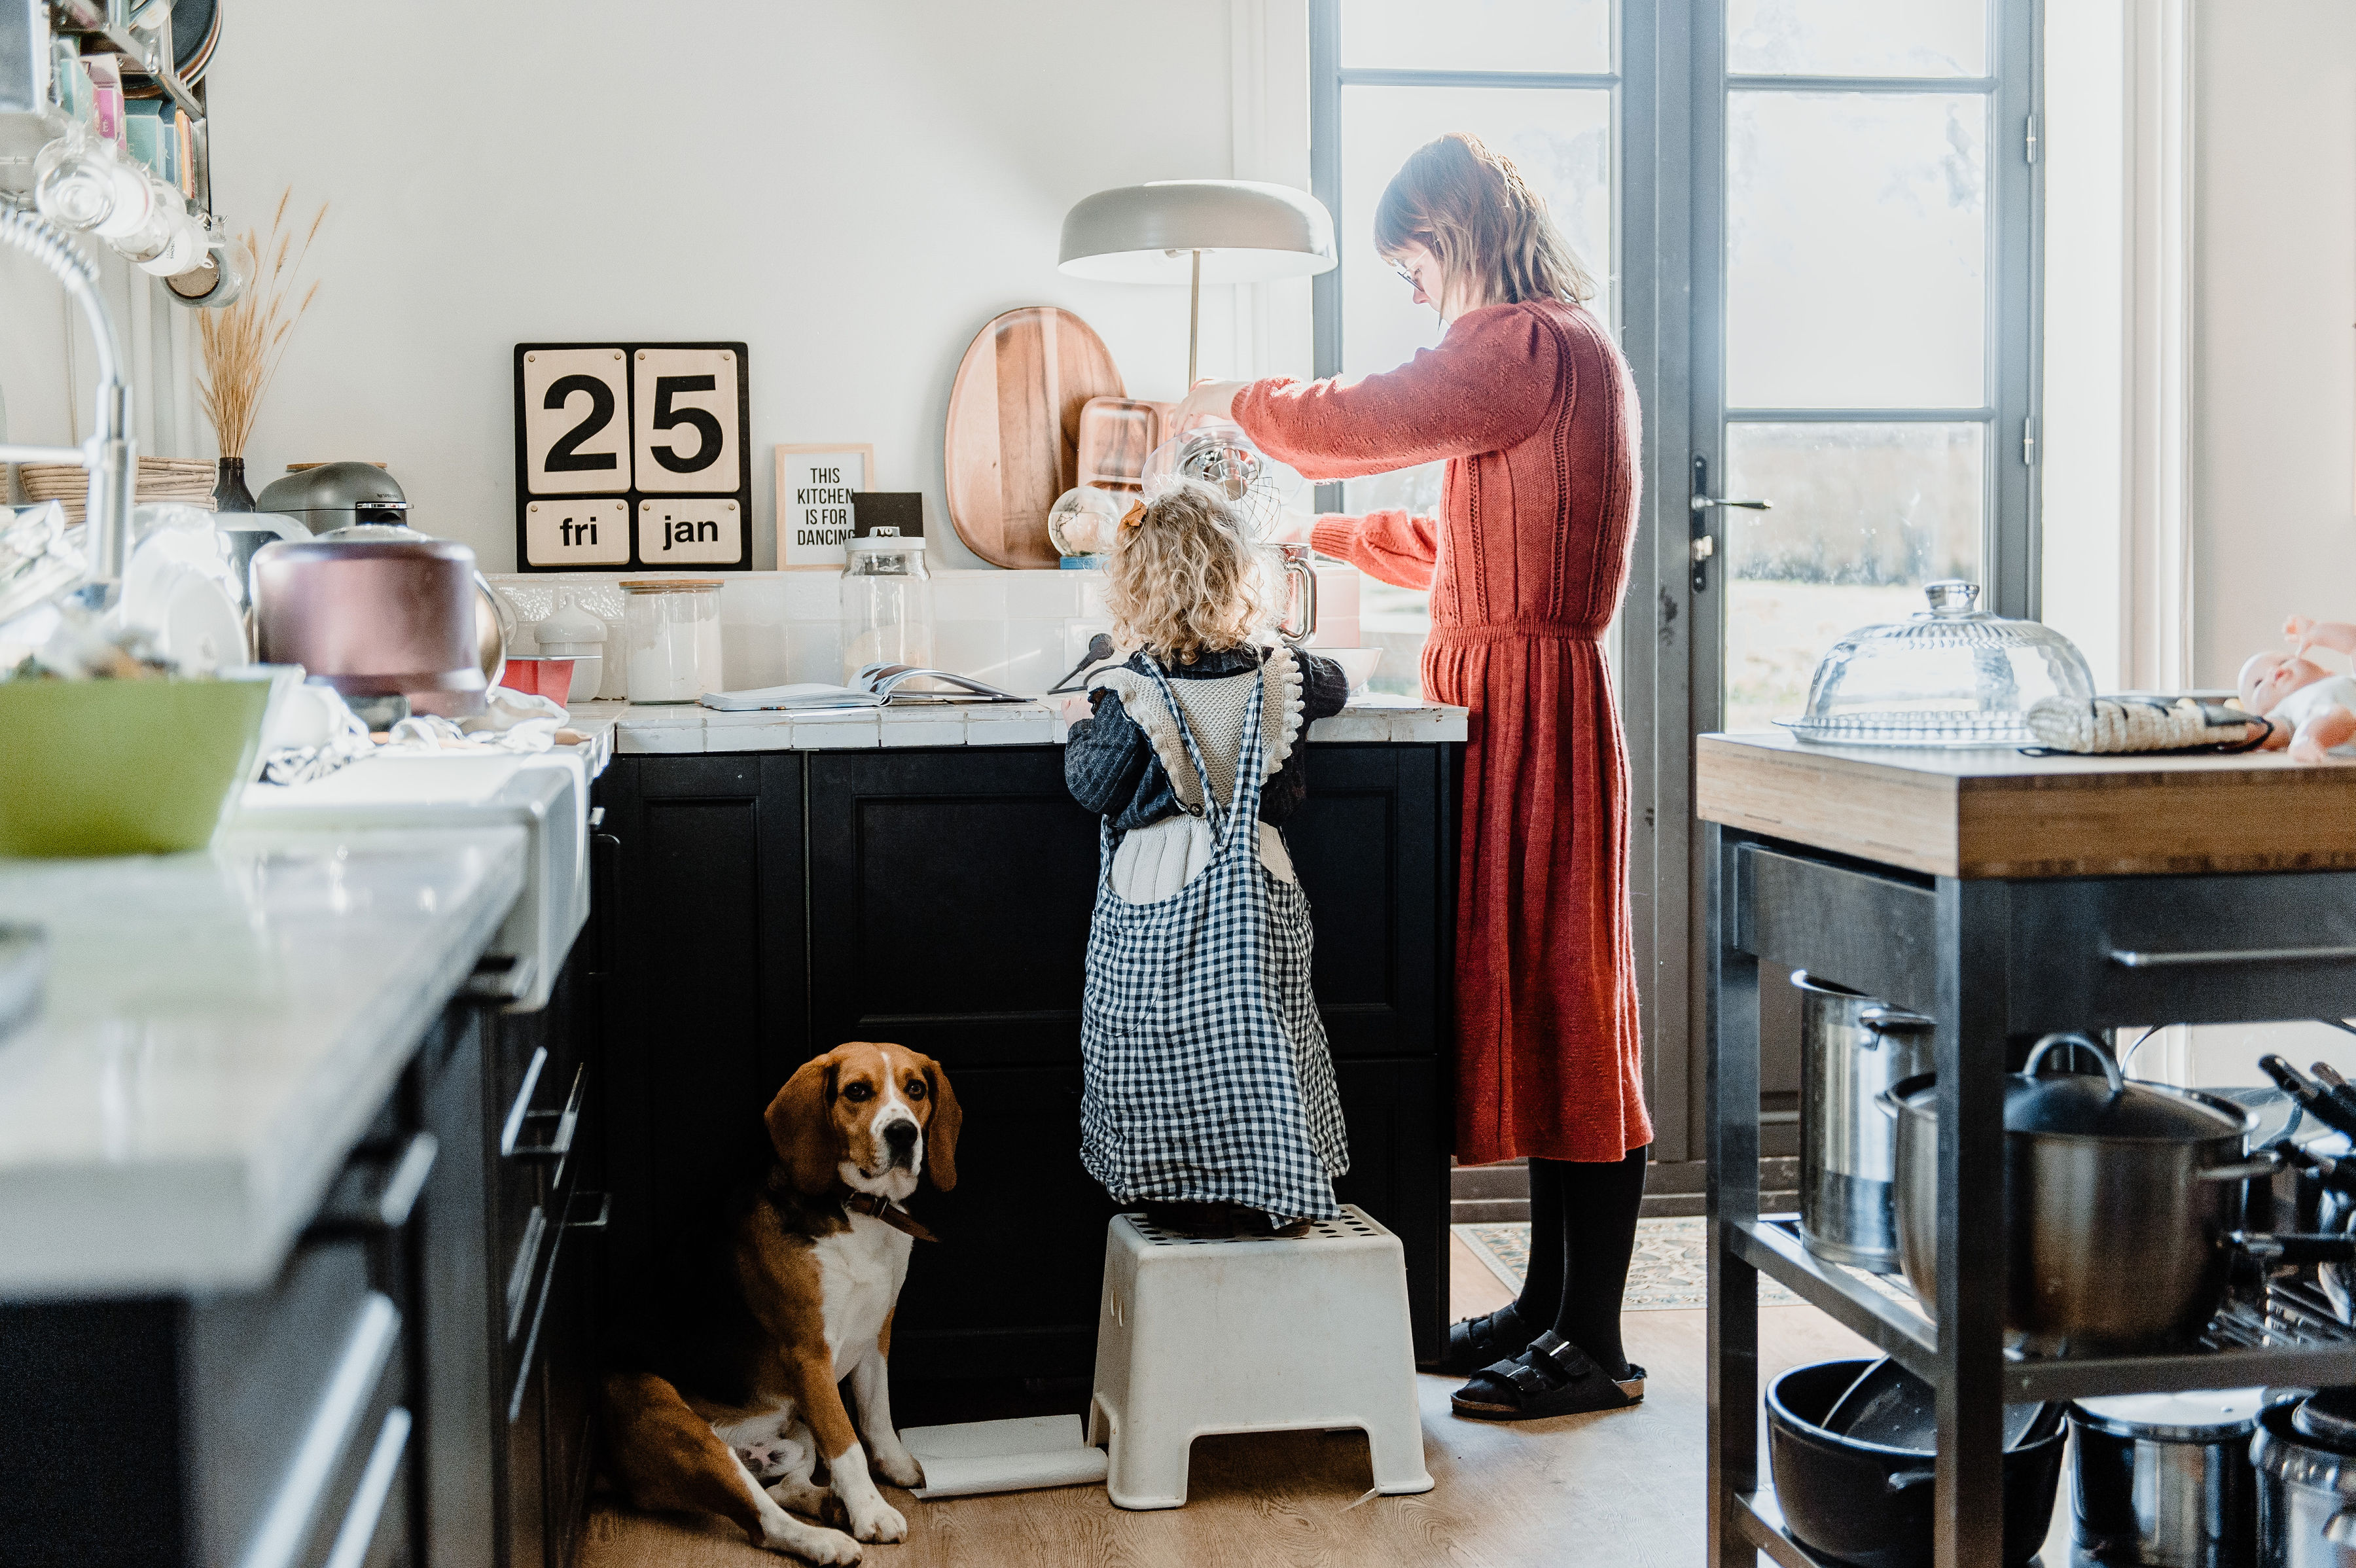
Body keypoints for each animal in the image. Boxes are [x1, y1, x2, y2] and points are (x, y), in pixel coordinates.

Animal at [603, 1031, 961, 1554]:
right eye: (857, 1091)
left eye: (916, 1089)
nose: (903, 1133)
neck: (859, 1213)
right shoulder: (809, 1355)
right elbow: (848, 1443)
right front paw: (873, 1512)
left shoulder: (877, 1331)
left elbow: (876, 1411)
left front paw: (893, 1466)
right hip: (683, 1428)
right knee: (763, 1521)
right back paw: (829, 1543)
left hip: (795, 1427)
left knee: (786, 1488)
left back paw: (831, 1507)